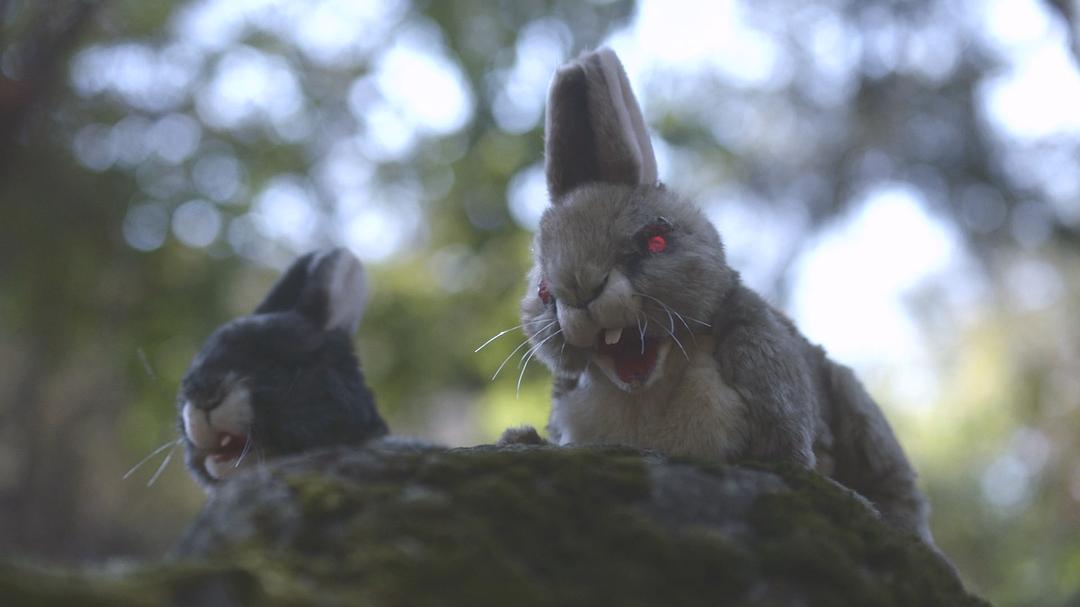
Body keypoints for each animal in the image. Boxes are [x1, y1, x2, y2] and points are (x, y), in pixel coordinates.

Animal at [511, 48, 937, 544]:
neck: (646, 392)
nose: (580, 290)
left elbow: (792, 457)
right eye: (543, 290)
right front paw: (520, 439)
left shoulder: (762, 355)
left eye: (657, 241)